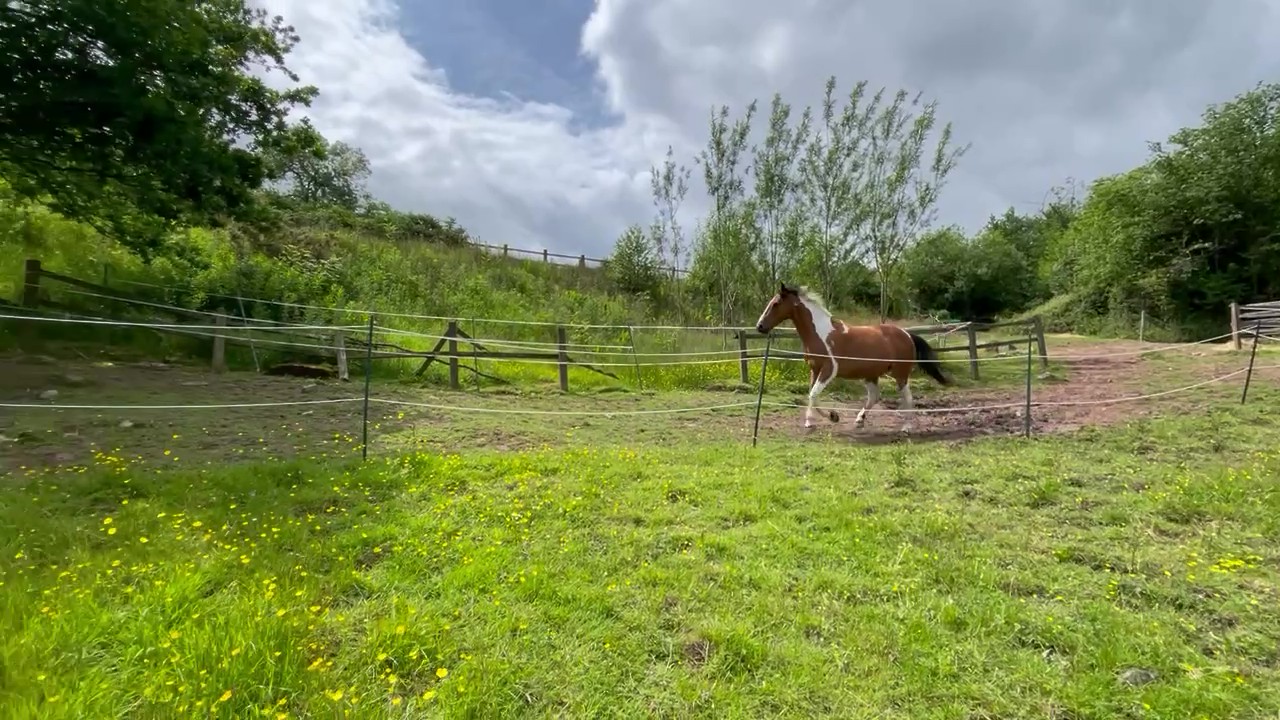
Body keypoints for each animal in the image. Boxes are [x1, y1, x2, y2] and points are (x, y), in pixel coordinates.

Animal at [754, 283, 951, 434]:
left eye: (776, 303)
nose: (760, 326)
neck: (820, 334)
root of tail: (907, 334)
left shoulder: (829, 370)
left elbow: (814, 394)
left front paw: (833, 416)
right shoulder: (814, 369)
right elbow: (811, 395)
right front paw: (811, 422)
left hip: (900, 373)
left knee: (908, 397)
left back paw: (906, 428)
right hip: (871, 375)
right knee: (874, 397)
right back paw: (859, 420)